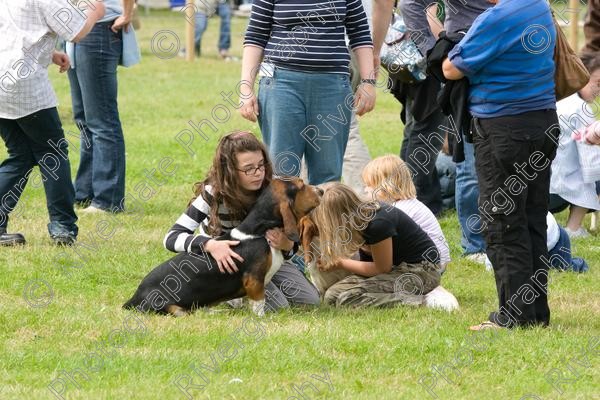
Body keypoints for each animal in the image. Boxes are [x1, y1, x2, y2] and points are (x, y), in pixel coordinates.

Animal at [122, 177, 326, 316]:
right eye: (301, 185)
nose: (321, 191)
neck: (259, 232)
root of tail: (135, 296)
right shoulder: (254, 280)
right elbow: (259, 303)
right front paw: (261, 319)